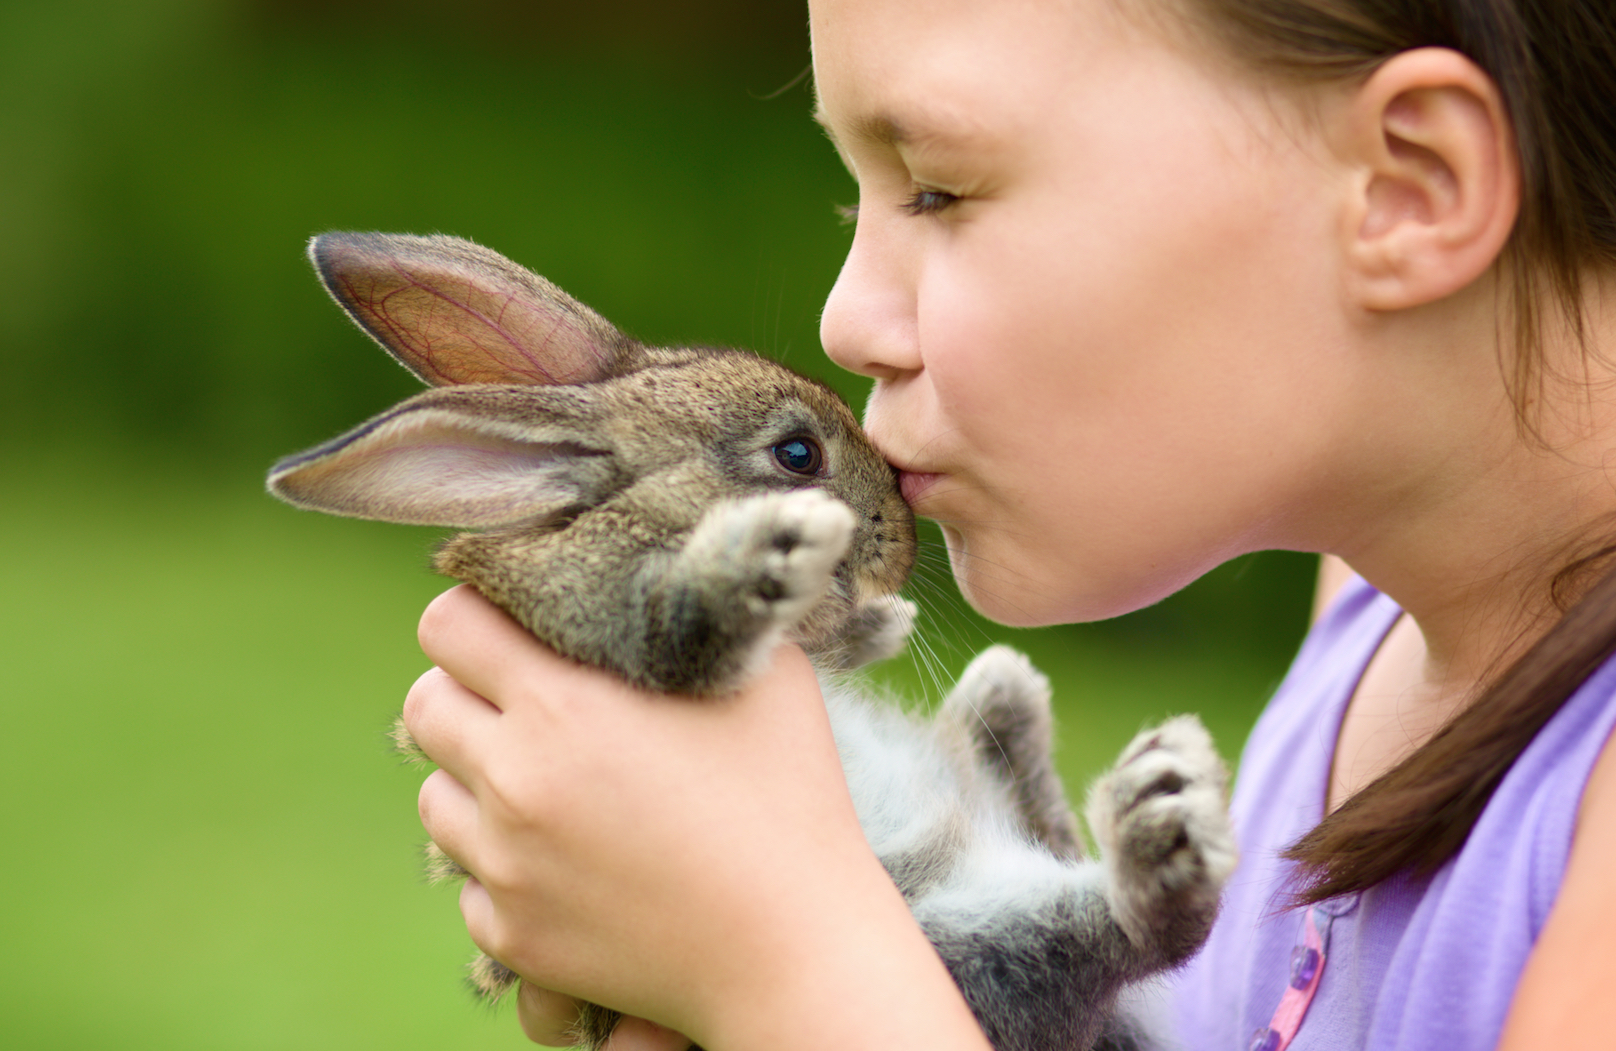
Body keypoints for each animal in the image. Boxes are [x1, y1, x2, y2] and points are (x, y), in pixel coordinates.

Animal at [268, 232, 1236, 1051]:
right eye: (797, 454)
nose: (901, 536)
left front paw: (872, 618)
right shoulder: (604, 609)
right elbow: (685, 620)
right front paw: (771, 556)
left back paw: (1029, 715)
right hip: (963, 944)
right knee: (1124, 931)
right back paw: (1153, 817)